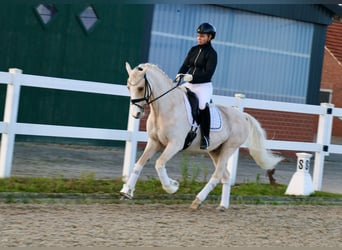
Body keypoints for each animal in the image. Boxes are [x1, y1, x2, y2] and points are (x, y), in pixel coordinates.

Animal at [120, 62, 284, 211]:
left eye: (140, 88)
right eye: (128, 87)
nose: (136, 114)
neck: (166, 108)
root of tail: (242, 116)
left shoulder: (174, 145)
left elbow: (159, 164)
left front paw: (172, 187)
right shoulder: (154, 142)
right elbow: (138, 164)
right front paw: (126, 191)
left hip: (229, 148)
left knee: (217, 174)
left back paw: (198, 200)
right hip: (215, 150)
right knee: (225, 175)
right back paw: (223, 205)